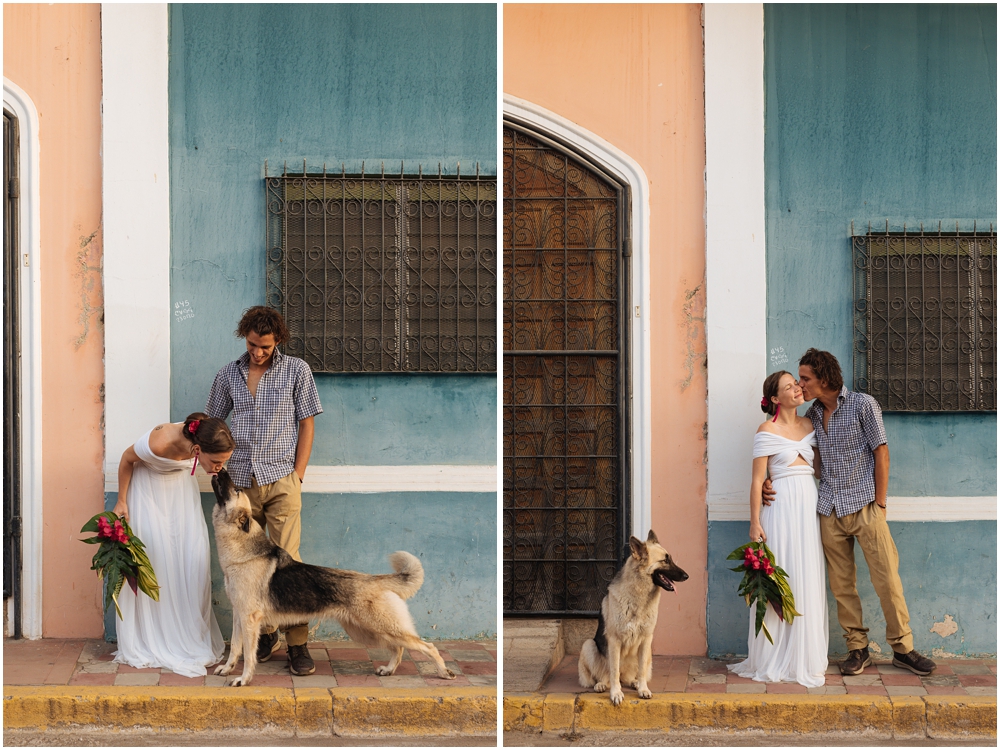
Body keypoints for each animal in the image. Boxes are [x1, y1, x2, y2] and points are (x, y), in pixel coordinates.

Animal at [213, 470, 458, 688]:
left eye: (237, 490)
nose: (221, 469)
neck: (243, 551)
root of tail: (376, 580)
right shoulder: (239, 617)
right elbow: (235, 649)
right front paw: (227, 669)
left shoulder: (249, 620)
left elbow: (248, 655)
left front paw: (243, 679)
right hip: (367, 632)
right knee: (398, 648)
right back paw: (389, 670)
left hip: (380, 629)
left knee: (427, 646)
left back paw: (444, 672)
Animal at [580, 528, 688, 704]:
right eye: (665, 561)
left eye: (670, 559)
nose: (687, 576)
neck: (637, 598)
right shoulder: (614, 641)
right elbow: (614, 671)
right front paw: (616, 693)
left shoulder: (646, 639)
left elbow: (642, 670)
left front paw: (643, 689)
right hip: (588, 645)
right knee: (607, 676)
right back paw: (601, 684)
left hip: (648, 652)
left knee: (630, 676)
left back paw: (634, 683)